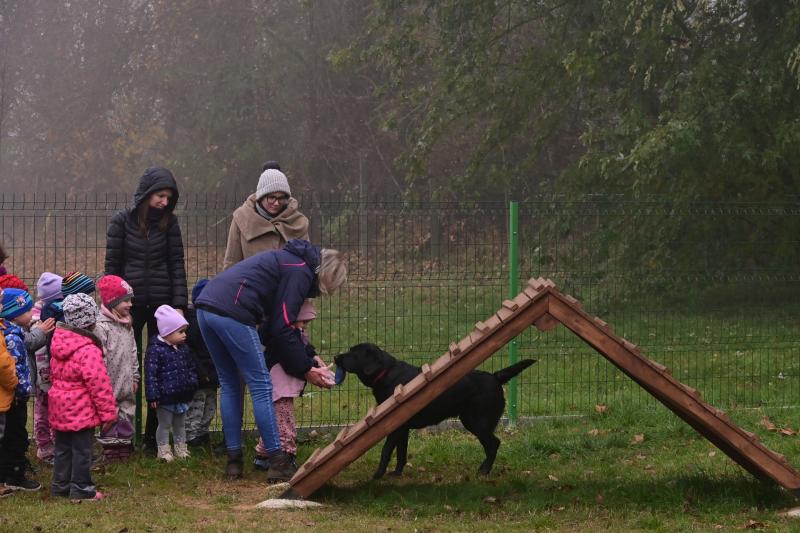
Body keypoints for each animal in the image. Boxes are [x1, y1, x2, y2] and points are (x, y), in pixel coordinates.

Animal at [334, 342, 536, 480]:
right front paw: (396, 473)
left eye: (353, 353)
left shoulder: (393, 427)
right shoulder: (402, 427)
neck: (387, 373)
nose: (336, 357)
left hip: (477, 422)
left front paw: (378, 475)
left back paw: (484, 470)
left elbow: (386, 451)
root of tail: (495, 377)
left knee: (494, 444)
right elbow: (401, 453)